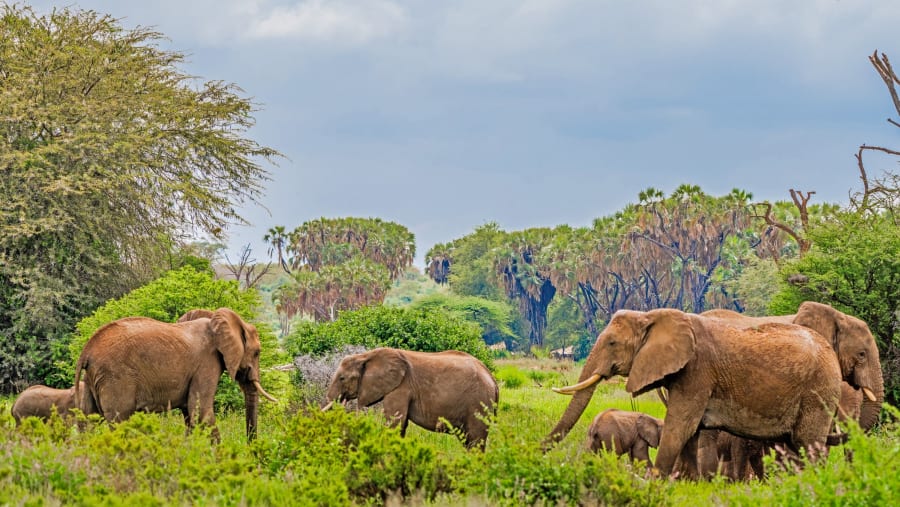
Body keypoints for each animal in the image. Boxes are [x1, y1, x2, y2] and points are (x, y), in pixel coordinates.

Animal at [74, 307, 277, 440]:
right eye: (257, 352)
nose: (251, 450)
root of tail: (86, 350)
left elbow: (190, 415)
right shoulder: (206, 363)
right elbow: (201, 412)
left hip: (92, 379)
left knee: (88, 421)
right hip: (115, 378)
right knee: (119, 422)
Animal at [323, 347, 499, 449]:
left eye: (342, 378)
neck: (365, 356)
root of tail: (492, 378)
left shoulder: (401, 387)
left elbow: (395, 422)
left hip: (479, 402)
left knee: (475, 440)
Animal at [544, 308, 843, 478]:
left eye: (612, 343)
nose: (539, 451)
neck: (653, 316)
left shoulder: (698, 372)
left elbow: (680, 427)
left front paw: (656, 482)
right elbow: (690, 433)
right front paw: (687, 484)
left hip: (818, 391)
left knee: (809, 444)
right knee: (794, 447)